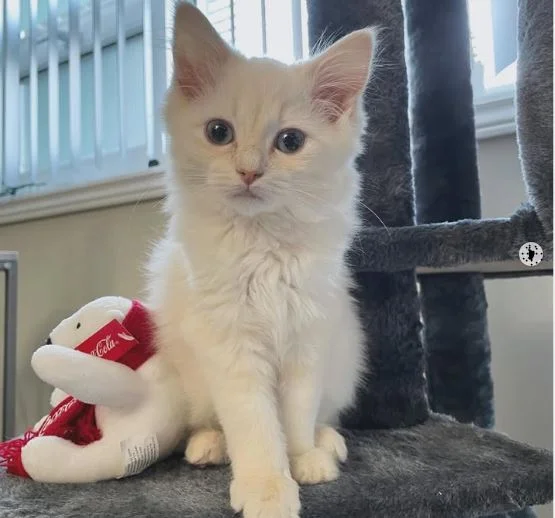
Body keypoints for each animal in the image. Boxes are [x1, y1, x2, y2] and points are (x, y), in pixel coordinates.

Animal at [147, 5, 374, 518]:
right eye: (219, 133)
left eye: (290, 142)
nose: (249, 171)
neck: (262, 245)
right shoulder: (231, 346)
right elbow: (254, 425)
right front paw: (267, 488)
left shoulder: (308, 336)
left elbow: (296, 414)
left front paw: (302, 460)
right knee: (206, 421)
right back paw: (209, 445)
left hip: (344, 362)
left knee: (325, 414)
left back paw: (327, 443)